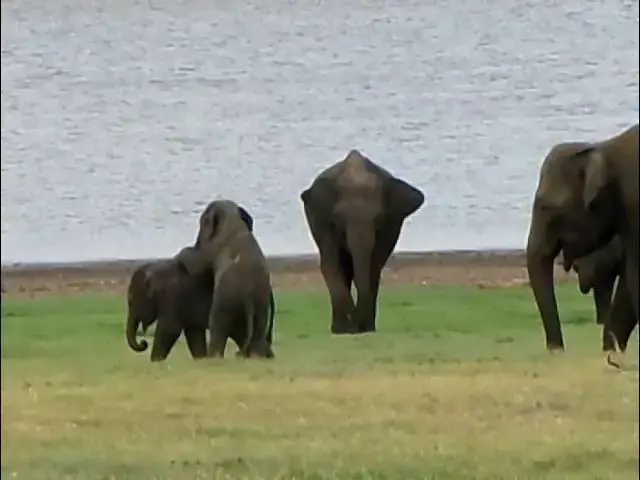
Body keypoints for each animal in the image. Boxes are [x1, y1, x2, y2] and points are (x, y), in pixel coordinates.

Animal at [181, 199, 275, 359]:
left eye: (203, 222)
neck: (233, 218)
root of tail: (249, 293)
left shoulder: (213, 248)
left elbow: (199, 263)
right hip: (261, 302)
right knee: (258, 329)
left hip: (227, 299)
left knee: (217, 326)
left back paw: (213, 357)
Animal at [299, 149, 425, 335]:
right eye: (339, 218)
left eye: (378, 218)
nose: (358, 327)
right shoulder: (321, 220)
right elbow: (330, 263)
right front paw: (348, 326)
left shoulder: (391, 224)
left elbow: (375, 263)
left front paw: (362, 326)